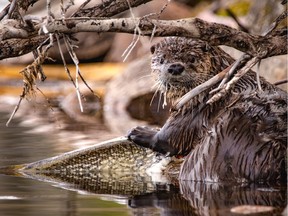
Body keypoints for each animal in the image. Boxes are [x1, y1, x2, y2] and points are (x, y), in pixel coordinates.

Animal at [127, 37, 286, 184]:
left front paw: (139, 131)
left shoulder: (199, 108)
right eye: (161, 59)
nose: (175, 67)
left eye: (192, 58)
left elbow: (171, 137)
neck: (214, 88)